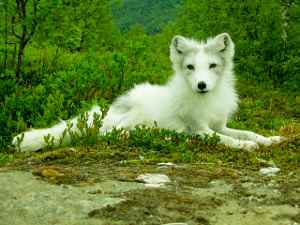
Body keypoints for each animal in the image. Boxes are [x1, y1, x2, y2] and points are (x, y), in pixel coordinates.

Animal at [12, 33, 284, 151]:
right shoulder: (199, 128)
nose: (201, 85)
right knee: (109, 134)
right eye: (190, 67)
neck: (206, 100)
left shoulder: (219, 125)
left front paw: (269, 139)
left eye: (212, 66)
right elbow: (224, 139)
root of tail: (112, 107)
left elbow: (246, 132)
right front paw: (245, 146)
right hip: (133, 120)